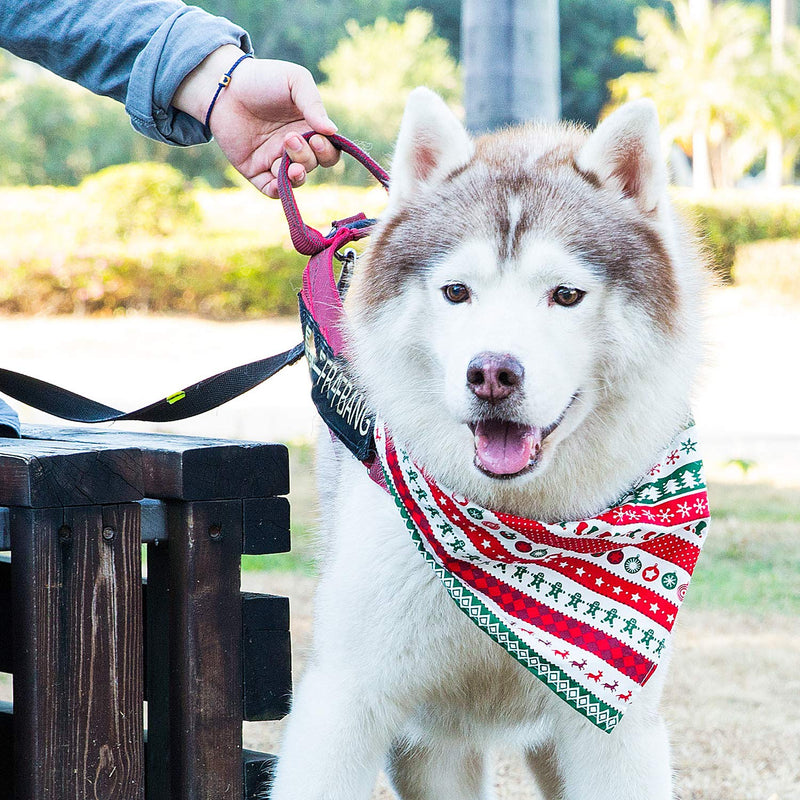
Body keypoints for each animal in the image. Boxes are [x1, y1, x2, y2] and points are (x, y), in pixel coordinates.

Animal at [272, 89, 704, 800]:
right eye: (457, 291)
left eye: (565, 294)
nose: (492, 373)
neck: (516, 535)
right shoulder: (347, 700)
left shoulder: (616, 731)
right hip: (432, 747)